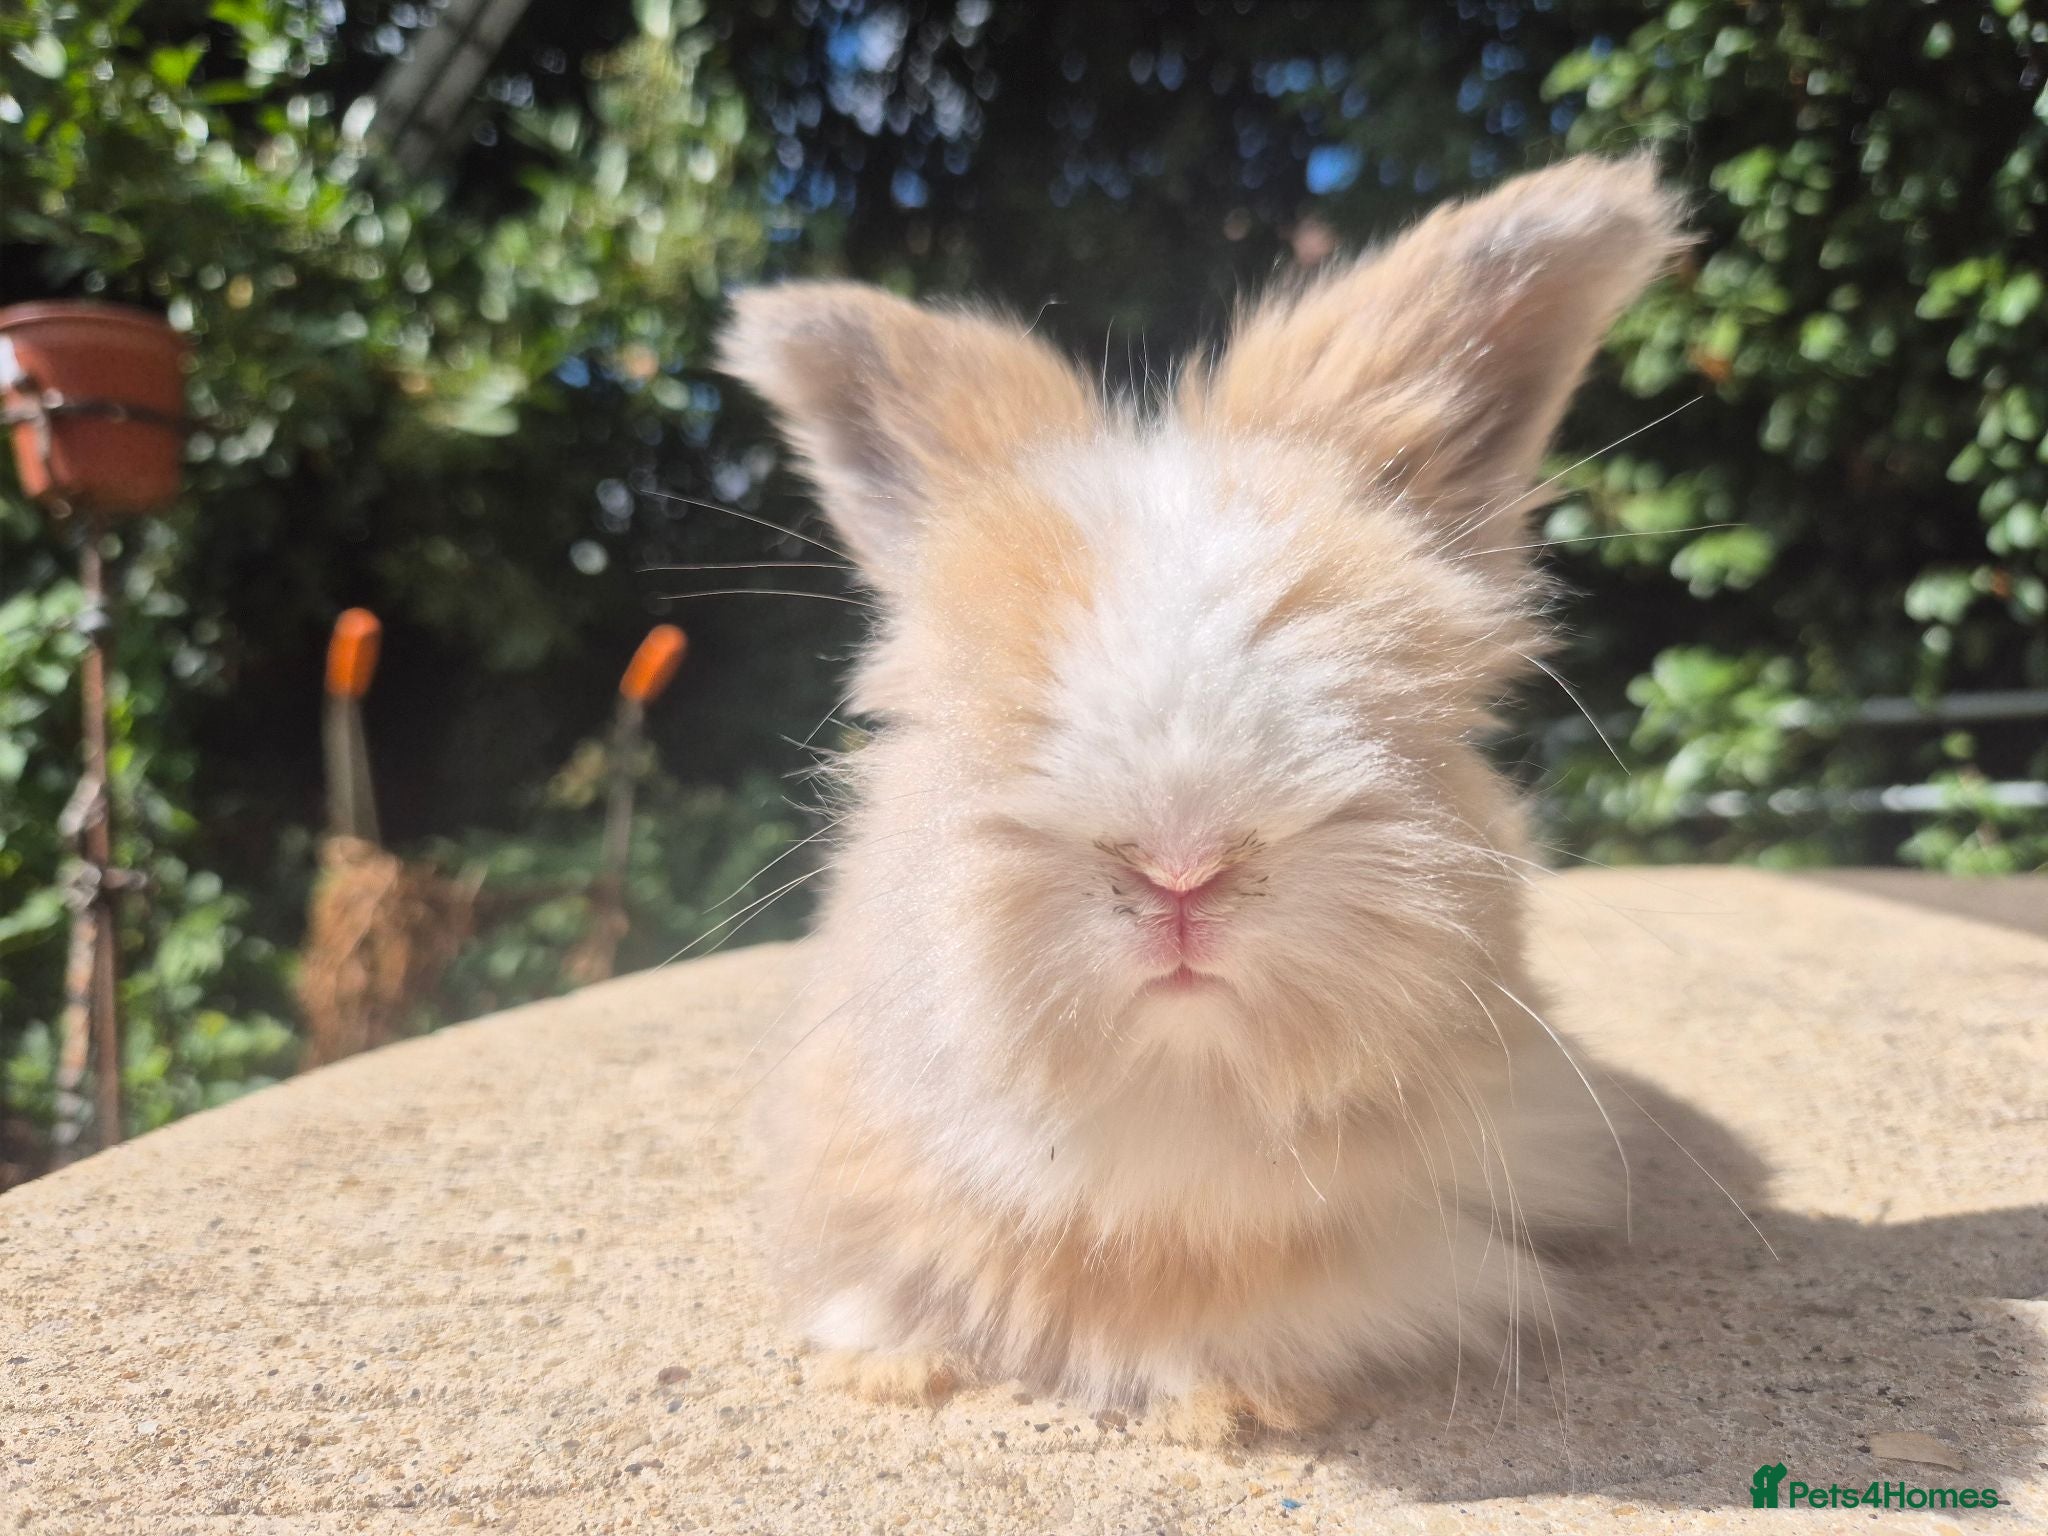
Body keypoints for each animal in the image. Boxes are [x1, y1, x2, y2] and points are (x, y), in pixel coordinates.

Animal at [716, 155, 1687, 1441]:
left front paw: (1235, 1398)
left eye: (1397, 689)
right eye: (949, 710)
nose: (1179, 868)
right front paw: (889, 1366)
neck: (1171, 1127)